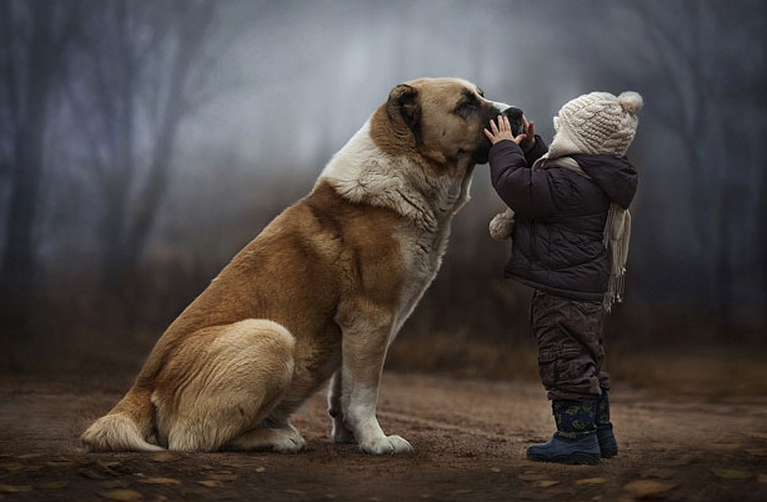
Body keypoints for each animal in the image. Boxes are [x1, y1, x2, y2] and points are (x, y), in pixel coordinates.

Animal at [82, 77, 520, 454]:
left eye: (482, 95)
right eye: (465, 104)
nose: (516, 113)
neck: (406, 173)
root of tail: (140, 388)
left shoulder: (357, 331)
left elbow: (344, 390)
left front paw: (350, 436)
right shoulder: (372, 318)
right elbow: (364, 392)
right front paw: (377, 442)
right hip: (271, 337)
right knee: (192, 439)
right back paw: (279, 437)